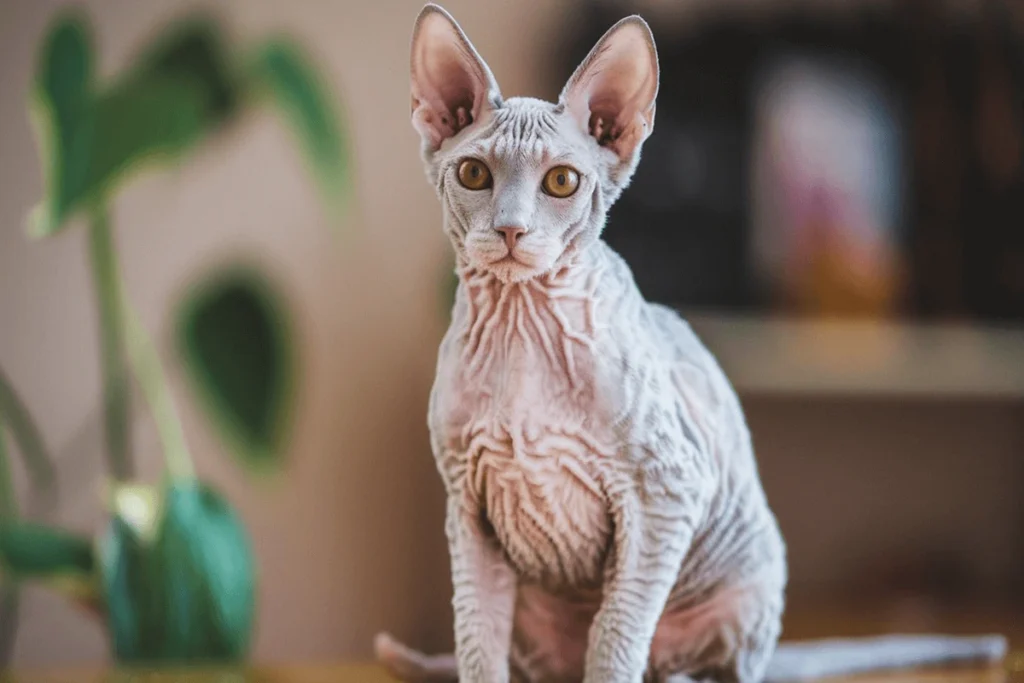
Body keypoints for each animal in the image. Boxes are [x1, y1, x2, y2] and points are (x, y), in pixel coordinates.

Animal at [372, 5, 1003, 683]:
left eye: (562, 182)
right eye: (474, 174)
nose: (512, 229)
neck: (522, 326)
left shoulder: (666, 491)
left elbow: (616, 634)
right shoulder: (468, 506)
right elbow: (476, 635)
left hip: (745, 583)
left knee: (695, 665)